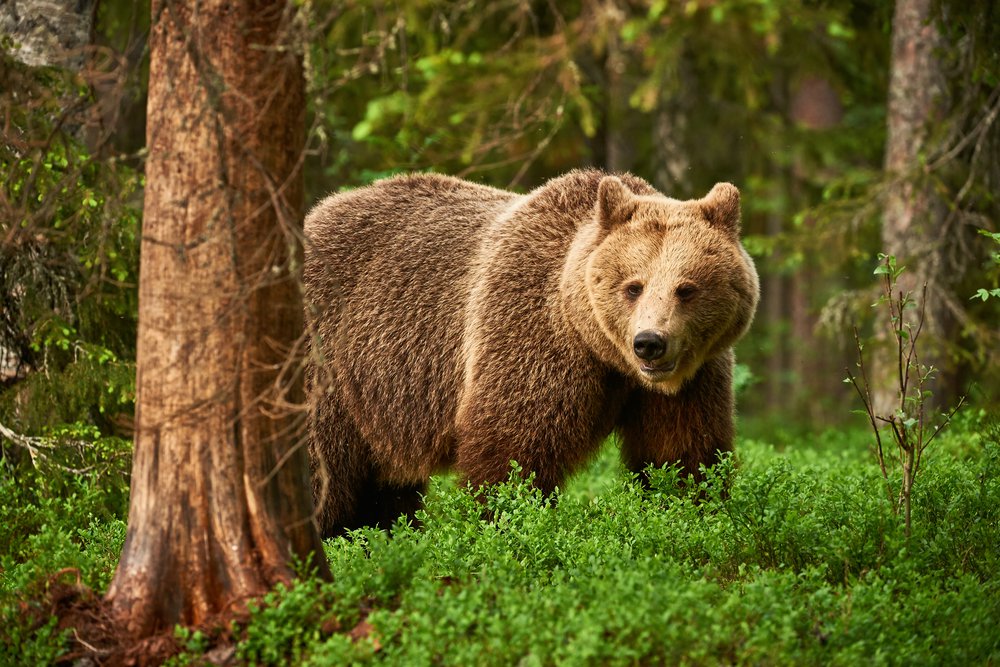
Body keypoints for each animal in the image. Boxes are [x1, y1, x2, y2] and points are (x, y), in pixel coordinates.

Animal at [304, 171, 756, 536]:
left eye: (686, 288)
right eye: (634, 285)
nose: (649, 341)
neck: (602, 351)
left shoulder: (693, 379)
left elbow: (681, 454)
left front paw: (690, 512)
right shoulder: (530, 335)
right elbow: (513, 453)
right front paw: (506, 523)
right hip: (331, 360)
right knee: (323, 472)